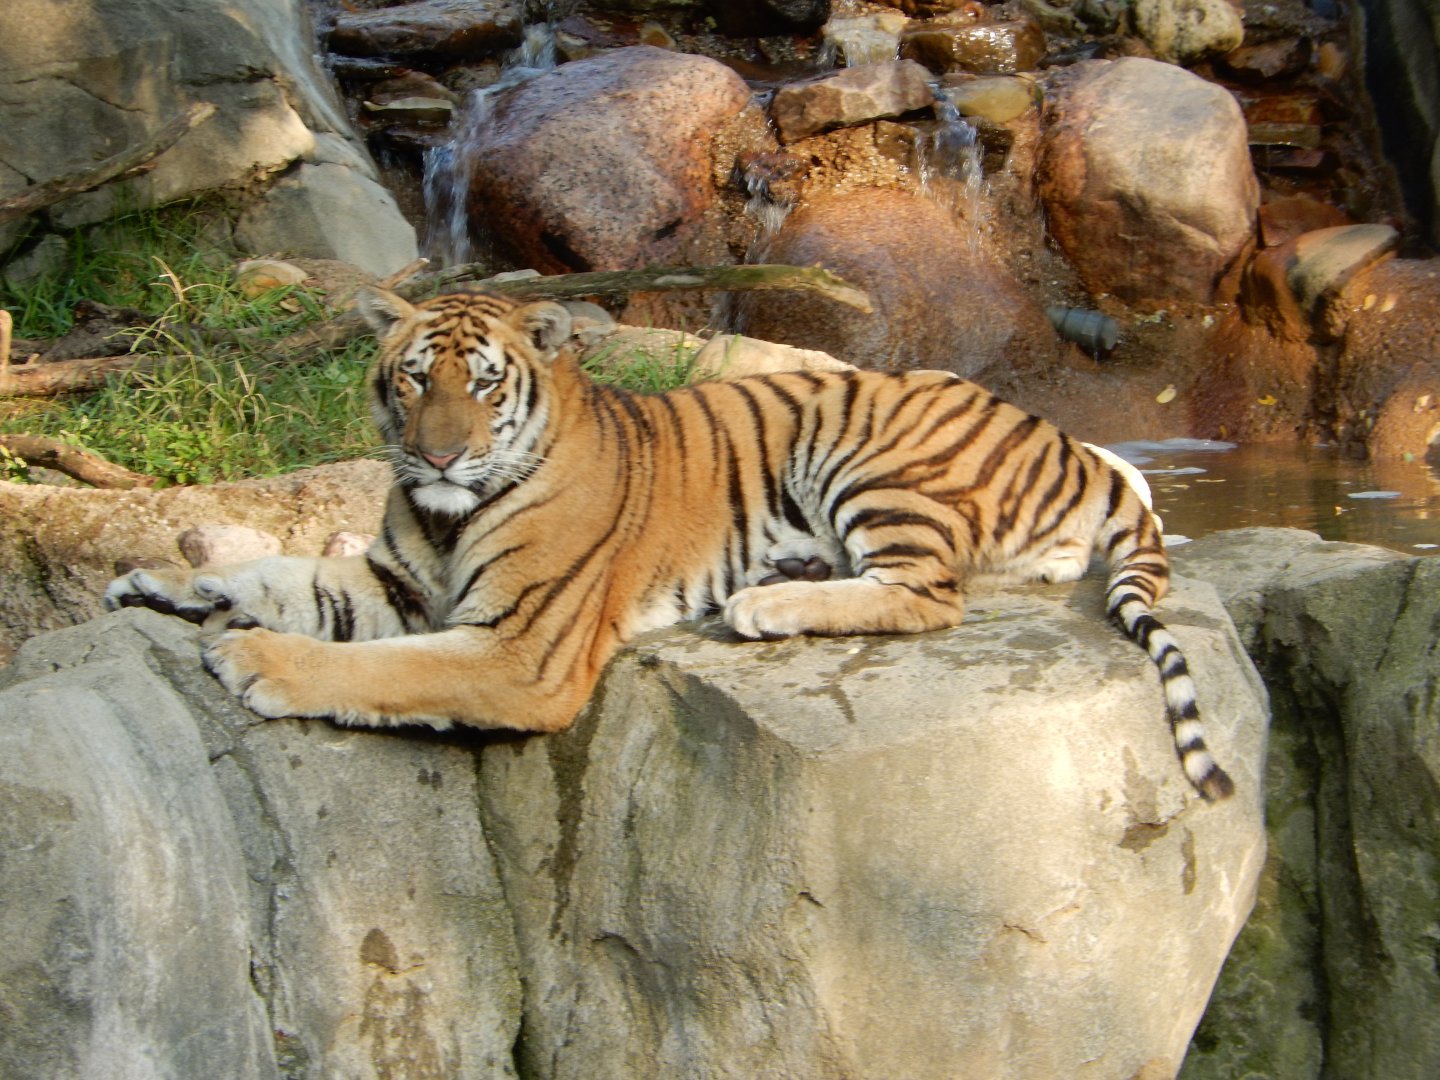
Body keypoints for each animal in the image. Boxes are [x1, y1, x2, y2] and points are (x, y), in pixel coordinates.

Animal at [105, 289, 1234, 801]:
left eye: (483, 384)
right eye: (415, 378)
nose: (438, 454)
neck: (442, 512)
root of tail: (1071, 444)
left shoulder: (521, 646)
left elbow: (385, 668)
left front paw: (252, 658)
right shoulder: (391, 580)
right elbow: (275, 575)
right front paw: (159, 581)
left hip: (868, 445)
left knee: (929, 593)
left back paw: (767, 602)